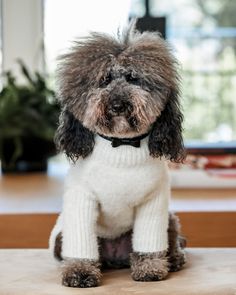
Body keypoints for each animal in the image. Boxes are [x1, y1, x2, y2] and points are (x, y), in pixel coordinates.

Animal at [49, 26, 186, 290]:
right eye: (104, 80)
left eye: (134, 78)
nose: (118, 104)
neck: (122, 148)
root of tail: (115, 257)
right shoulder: (82, 201)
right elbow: (81, 246)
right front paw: (80, 271)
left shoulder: (153, 203)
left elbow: (149, 243)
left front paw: (150, 268)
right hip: (62, 236)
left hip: (169, 218)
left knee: (170, 238)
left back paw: (173, 258)